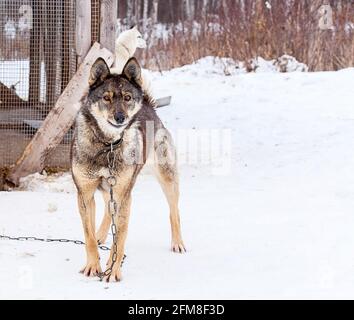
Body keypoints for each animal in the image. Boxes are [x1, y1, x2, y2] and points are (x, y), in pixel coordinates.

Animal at [71, 57, 185, 282]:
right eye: (106, 98)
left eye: (127, 98)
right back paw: (101, 235)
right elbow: (88, 236)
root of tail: (149, 106)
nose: (120, 117)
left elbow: (121, 238)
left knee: (174, 211)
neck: (107, 145)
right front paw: (92, 265)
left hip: (166, 177)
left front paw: (113, 269)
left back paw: (178, 243)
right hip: (108, 188)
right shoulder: (85, 194)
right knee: (107, 212)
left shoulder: (124, 196)